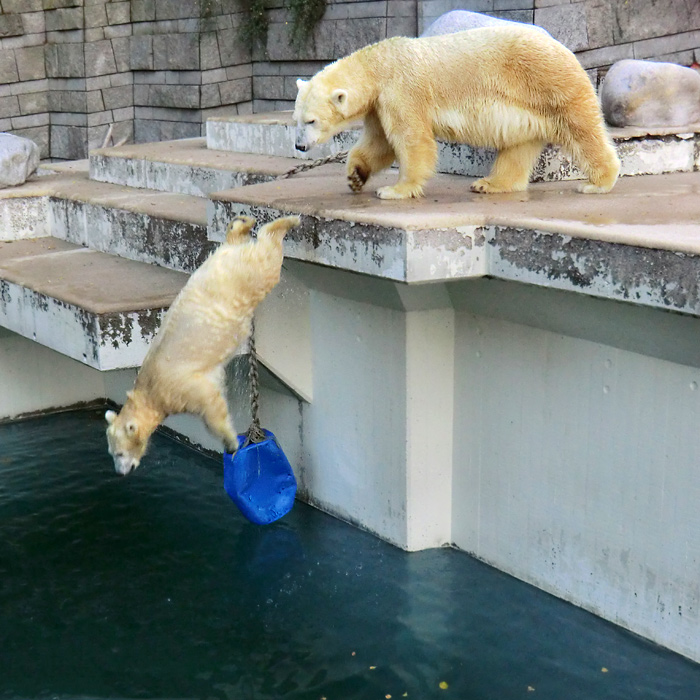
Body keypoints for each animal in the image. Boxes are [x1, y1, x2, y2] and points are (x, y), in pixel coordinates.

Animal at [104, 213, 300, 476]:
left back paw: (287, 223)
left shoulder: (179, 388)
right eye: (111, 453)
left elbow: (210, 405)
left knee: (267, 260)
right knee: (237, 240)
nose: (120, 472)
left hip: (246, 277)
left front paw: (230, 443)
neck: (148, 391)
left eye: (120, 453)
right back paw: (242, 223)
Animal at [292, 26, 620, 198]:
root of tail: (561, 46)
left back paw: (598, 182)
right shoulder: (379, 103)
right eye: (296, 120)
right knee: (518, 147)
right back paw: (490, 183)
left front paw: (395, 190)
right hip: (530, 107)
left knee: (581, 129)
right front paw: (356, 177)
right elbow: (379, 143)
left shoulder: (402, 90)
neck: (379, 64)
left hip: (549, 83)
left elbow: (412, 140)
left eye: (311, 120)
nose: (299, 145)